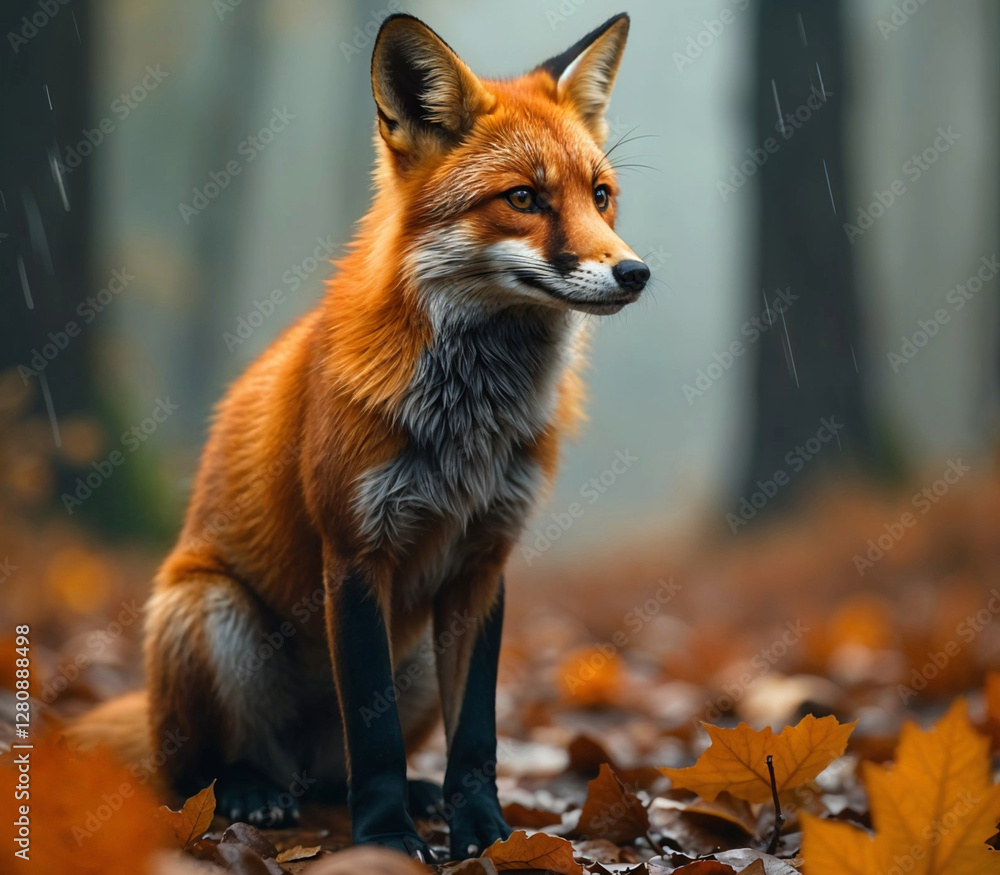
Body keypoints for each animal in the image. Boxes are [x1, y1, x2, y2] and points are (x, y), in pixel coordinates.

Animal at [70, 11, 648, 862]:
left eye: (601, 197)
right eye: (523, 198)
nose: (636, 272)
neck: (468, 423)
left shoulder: (484, 561)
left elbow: (477, 735)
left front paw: (484, 831)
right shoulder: (354, 551)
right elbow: (373, 736)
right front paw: (384, 839)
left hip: (410, 662)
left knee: (339, 768)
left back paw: (410, 793)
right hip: (207, 608)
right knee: (203, 772)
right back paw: (250, 792)